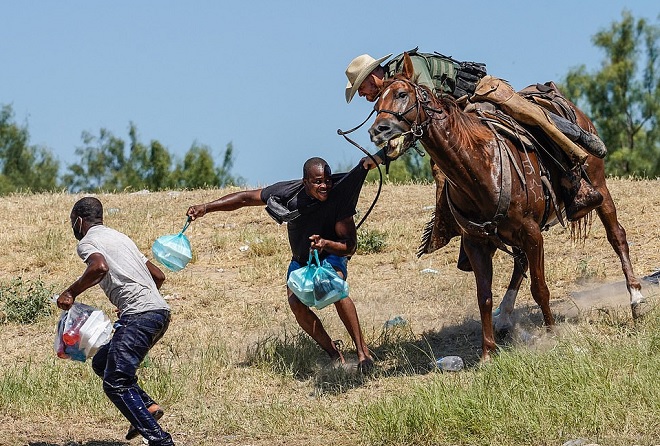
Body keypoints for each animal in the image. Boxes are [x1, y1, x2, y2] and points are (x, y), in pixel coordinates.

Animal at [368, 52, 648, 360]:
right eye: (376, 103)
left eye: (402, 94)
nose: (378, 130)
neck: (479, 167)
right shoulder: (477, 242)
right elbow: (484, 296)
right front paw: (487, 353)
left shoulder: (532, 233)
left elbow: (540, 288)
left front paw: (552, 335)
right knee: (520, 263)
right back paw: (504, 317)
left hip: (599, 187)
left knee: (617, 236)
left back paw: (636, 299)